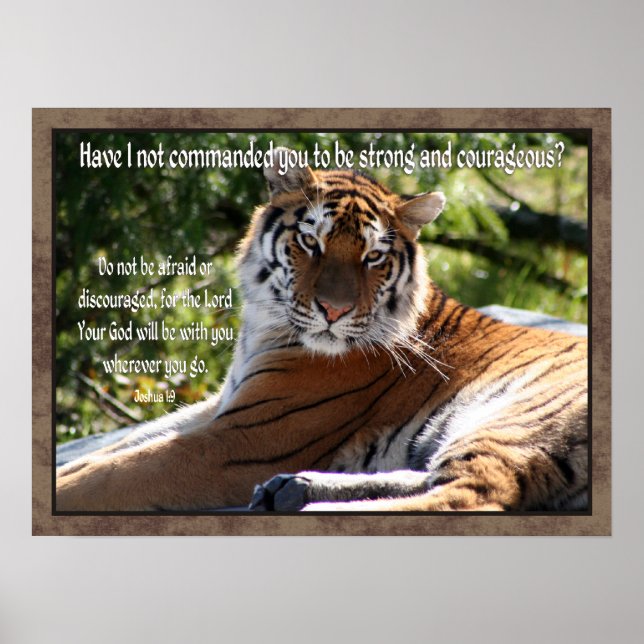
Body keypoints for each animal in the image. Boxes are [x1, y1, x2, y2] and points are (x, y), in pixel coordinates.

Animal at [55, 147, 588, 512]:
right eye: (311, 242)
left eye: (373, 256)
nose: (334, 310)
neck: (264, 328)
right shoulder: (224, 405)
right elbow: (118, 446)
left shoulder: (243, 440)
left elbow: (114, 471)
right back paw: (292, 489)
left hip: (516, 413)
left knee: (473, 494)